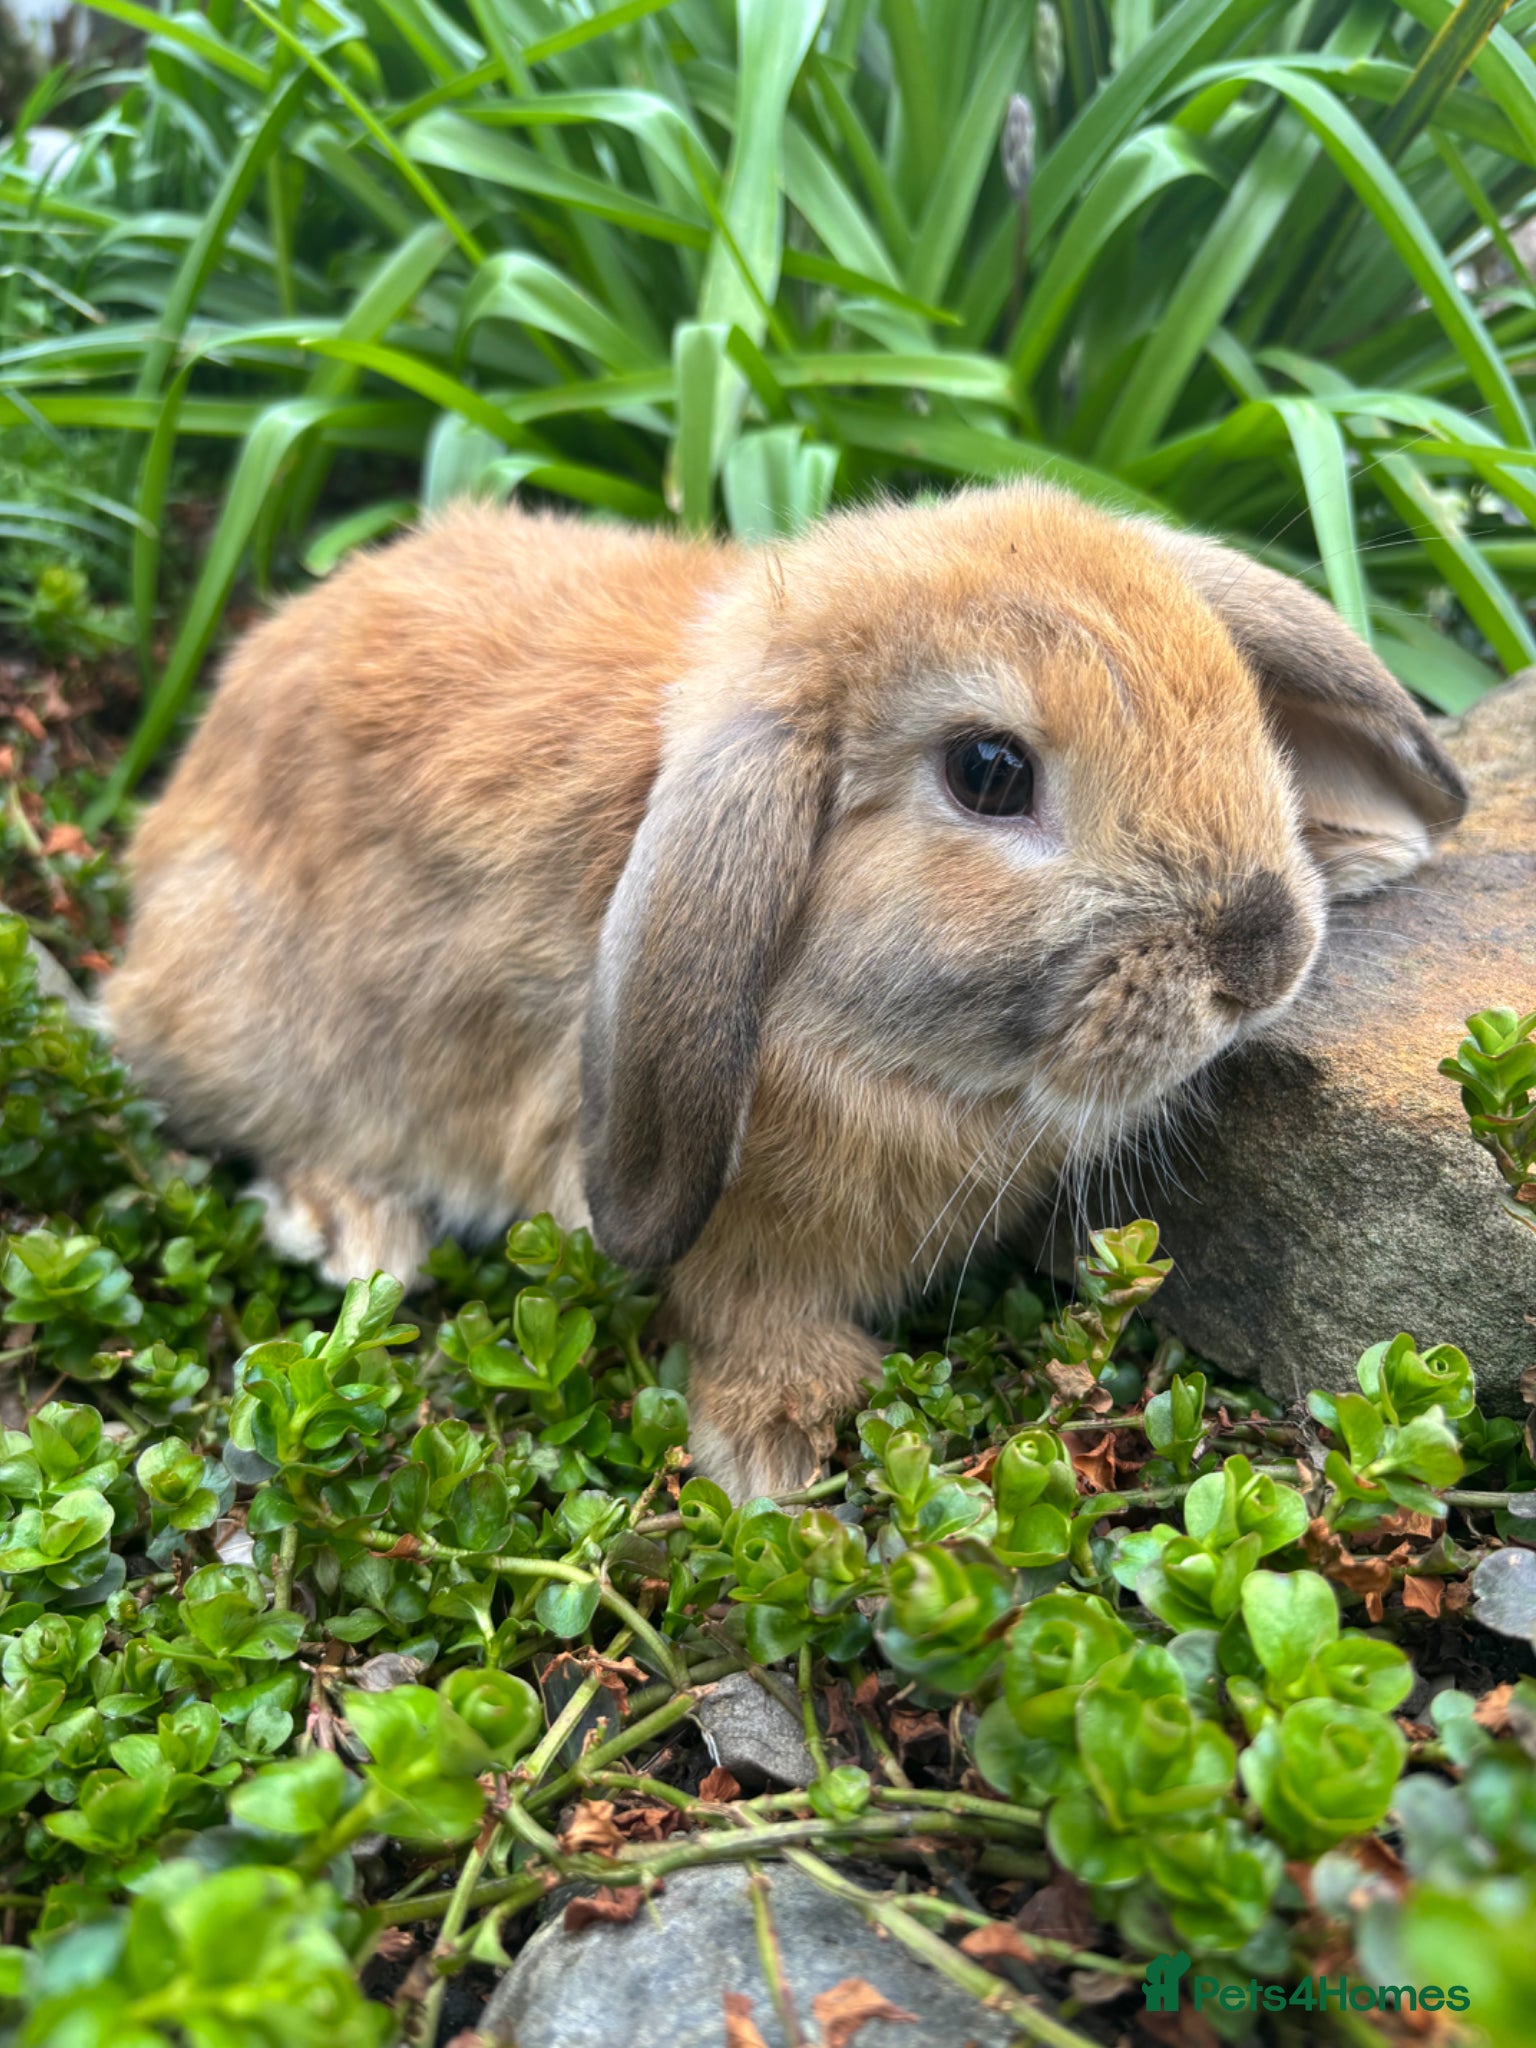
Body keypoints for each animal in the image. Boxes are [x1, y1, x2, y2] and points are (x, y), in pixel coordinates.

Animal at [106, 484, 1467, 1499]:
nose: (1263, 950)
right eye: (989, 769)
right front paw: (777, 1441)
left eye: (1236, 700)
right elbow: (736, 1309)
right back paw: (353, 1227)